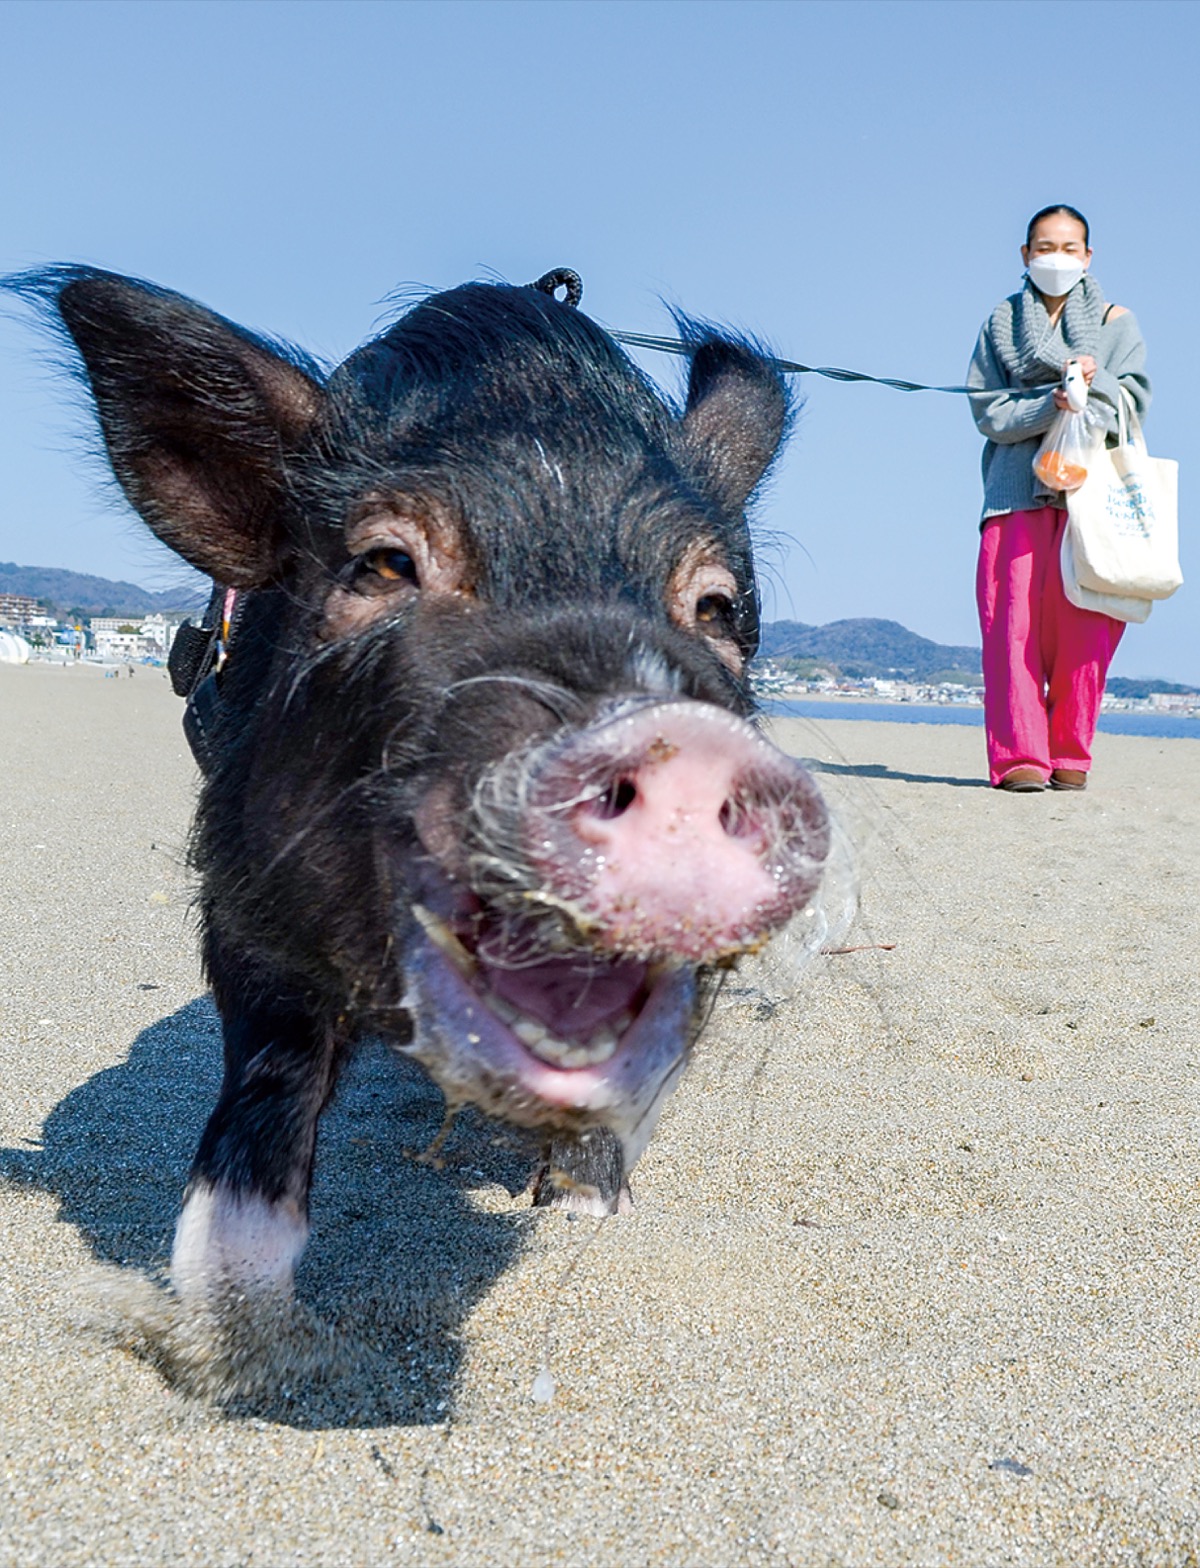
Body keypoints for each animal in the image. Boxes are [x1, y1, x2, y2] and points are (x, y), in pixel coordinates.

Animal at [11, 269, 834, 1310]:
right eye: (386, 563)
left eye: (716, 607)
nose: (668, 744)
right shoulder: (241, 868)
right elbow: (273, 1050)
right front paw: (225, 1296)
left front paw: (587, 1211)